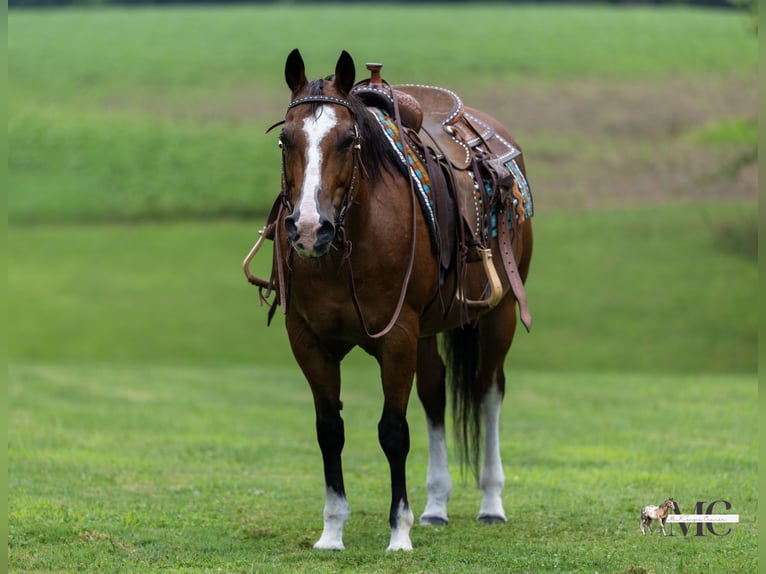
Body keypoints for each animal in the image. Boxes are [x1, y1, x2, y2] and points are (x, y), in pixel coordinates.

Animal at [244, 49, 533, 551]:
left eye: (347, 140)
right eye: (285, 139)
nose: (308, 228)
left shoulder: (397, 336)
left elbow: (393, 432)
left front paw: (399, 531)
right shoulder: (308, 340)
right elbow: (330, 431)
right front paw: (332, 530)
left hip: (499, 315)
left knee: (488, 391)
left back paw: (491, 504)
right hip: (429, 329)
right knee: (435, 395)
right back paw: (436, 507)